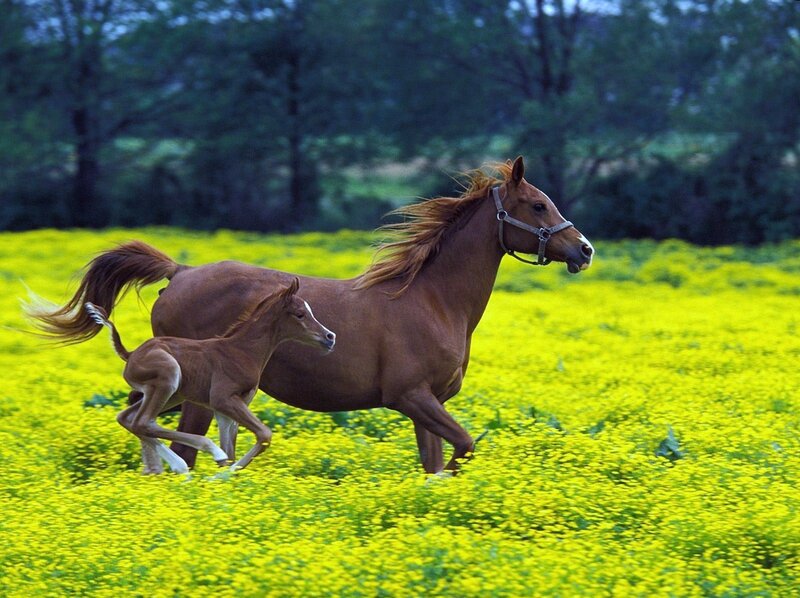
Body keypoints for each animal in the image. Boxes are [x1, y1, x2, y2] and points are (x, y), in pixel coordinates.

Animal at [84, 278, 335, 474]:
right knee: (143, 421)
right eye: (300, 314)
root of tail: (131, 354)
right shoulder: (222, 399)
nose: (329, 337)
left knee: (130, 419)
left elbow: (233, 449)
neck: (242, 351)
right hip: (168, 377)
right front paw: (222, 474)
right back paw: (201, 456)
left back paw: (175, 466)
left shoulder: (227, 407)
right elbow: (263, 435)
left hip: (172, 394)